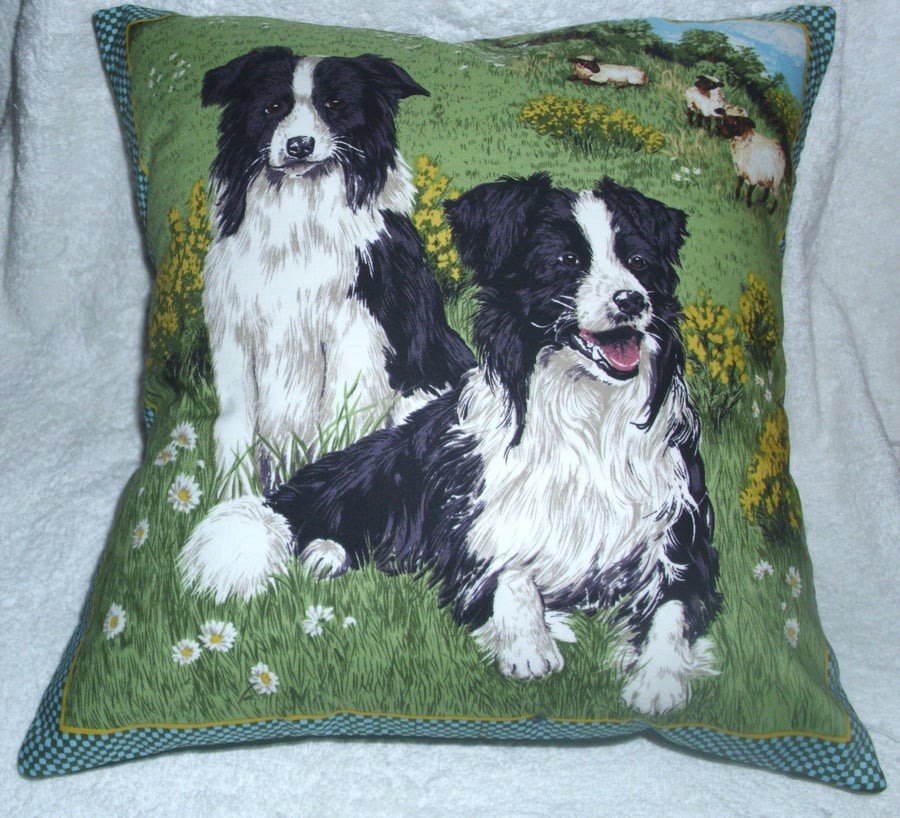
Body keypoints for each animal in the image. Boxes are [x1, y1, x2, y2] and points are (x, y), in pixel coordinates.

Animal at [183, 174, 724, 712]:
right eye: (566, 261)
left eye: (639, 262)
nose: (633, 301)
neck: (587, 411)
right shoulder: (473, 533)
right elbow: (509, 573)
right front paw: (528, 644)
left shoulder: (681, 546)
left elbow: (672, 614)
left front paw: (660, 680)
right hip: (393, 469)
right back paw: (322, 550)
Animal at [200, 47, 474, 494]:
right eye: (273, 107)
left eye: (335, 105)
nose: (299, 145)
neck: (299, 217)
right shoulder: (236, 335)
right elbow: (236, 428)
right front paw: (232, 499)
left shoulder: (357, 332)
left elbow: (340, 422)